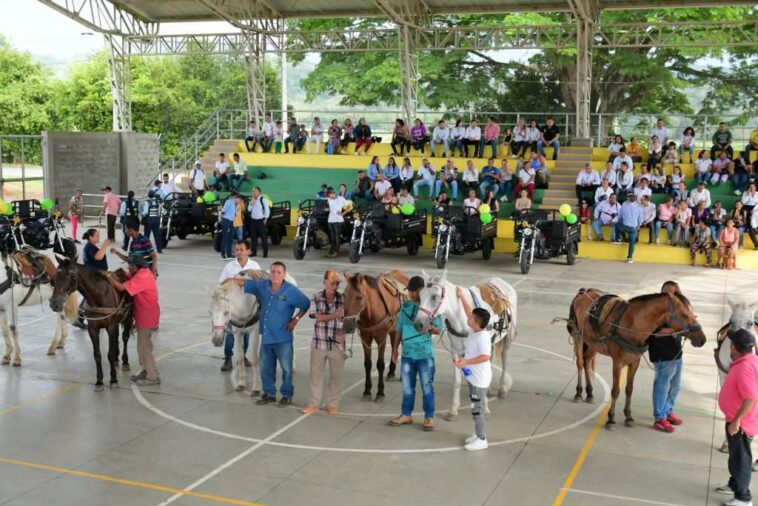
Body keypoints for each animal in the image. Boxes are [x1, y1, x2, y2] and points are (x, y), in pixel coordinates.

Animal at [49, 258, 134, 390]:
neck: (98, 296)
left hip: (128, 319)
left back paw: (125, 361)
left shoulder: (111, 327)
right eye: (54, 278)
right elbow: (97, 355)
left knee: (125, 338)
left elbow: (109, 354)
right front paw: (99, 381)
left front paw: (113, 379)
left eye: (68, 277)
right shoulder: (93, 329)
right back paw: (116, 359)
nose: (54, 304)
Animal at [342, 268, 406, 404]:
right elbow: (368, 364)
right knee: (394, 347)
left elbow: (380, 364)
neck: (370, 312)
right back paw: (391, 372)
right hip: (394, 330)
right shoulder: (365, 338)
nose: (347, 326)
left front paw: (380, 392)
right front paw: (367, 391)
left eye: (359, 297)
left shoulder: (381, 338)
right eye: (344, 295)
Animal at [416, 270, 516, 422]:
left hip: (507, 339)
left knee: (504, 359)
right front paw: (453, 411)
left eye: (434, 296)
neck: (462, 318)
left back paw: (502, 389)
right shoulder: (456, 352)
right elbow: (457, 381)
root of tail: (500, 281)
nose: (418, 324)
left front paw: (485, 408)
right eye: (421, 295)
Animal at [568, 288, 708, 426]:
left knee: (587, 362)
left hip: (593, 344)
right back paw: (579, 392)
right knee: (580, 363)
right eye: (685, 315)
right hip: (578, 337)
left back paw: (589, 393)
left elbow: (629, 389)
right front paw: (611, 417)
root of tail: (584, 291)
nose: (702, 339)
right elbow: (615, 390)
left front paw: (628, 416)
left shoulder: (635, 362)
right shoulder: (617, 362)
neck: (633, 323)